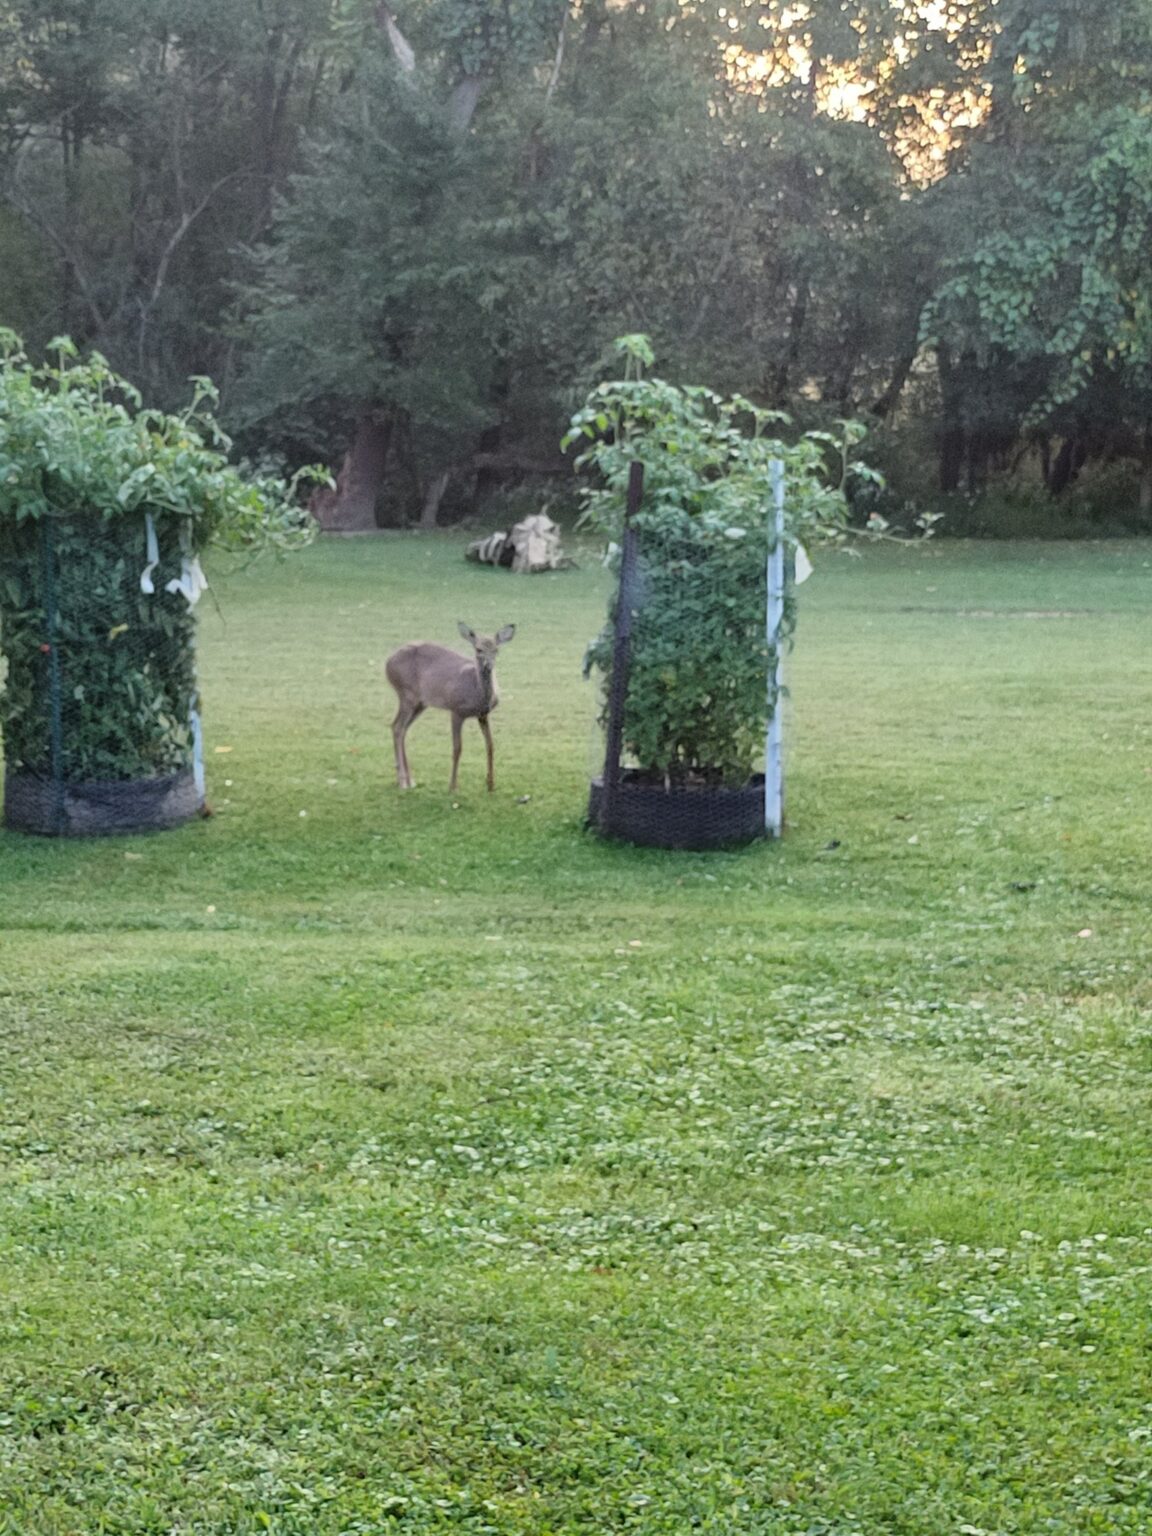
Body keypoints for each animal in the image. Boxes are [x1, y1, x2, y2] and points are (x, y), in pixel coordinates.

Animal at [386, 621, 516, 792]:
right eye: (478, 649)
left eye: (496, 649)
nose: (489, 665)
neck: (477, 693)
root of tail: (387, 663)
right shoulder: (456, 710)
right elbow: (457, 748)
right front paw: (453, 786)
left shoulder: (483, 714)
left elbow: (490, 746)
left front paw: (491, 784)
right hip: (406, 694)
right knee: (397, 726)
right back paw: (402, 782)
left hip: (420, 703)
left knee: (402, 729)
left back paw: (410, 781)